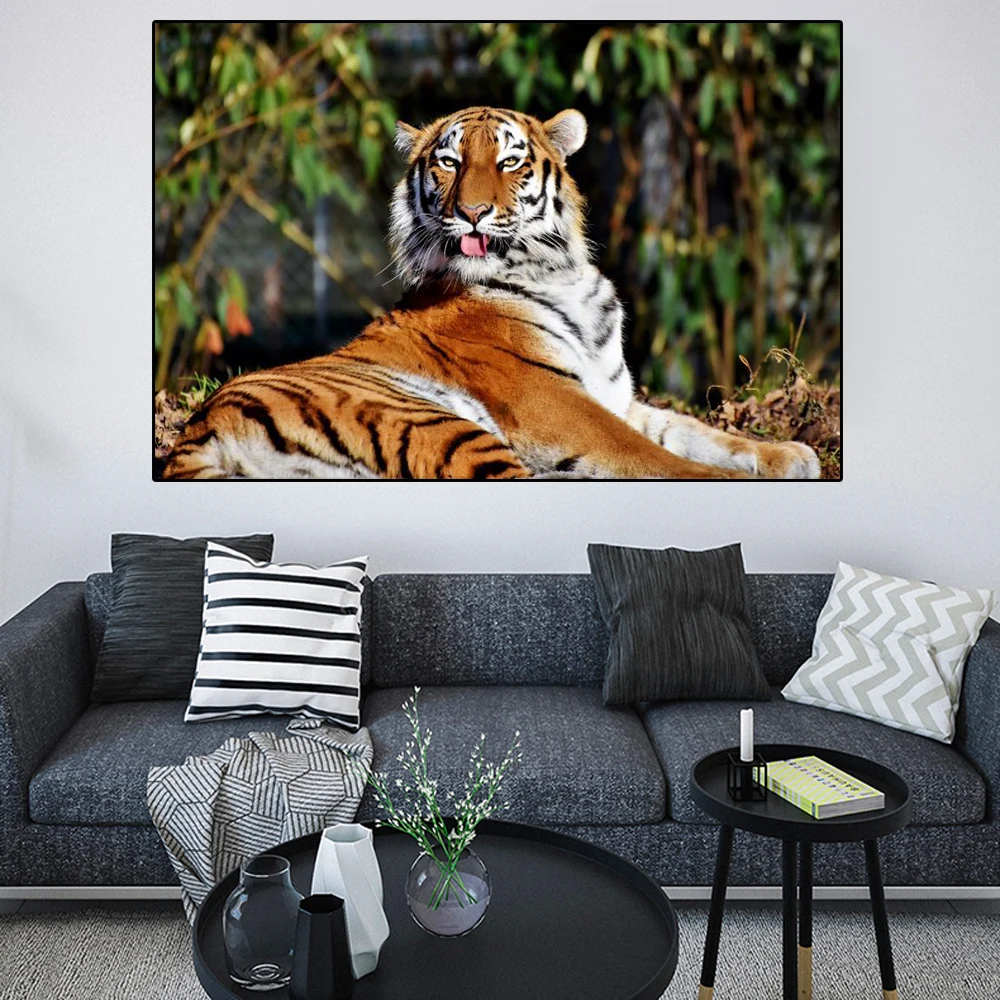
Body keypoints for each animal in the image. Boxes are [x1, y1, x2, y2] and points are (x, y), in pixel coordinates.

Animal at [163, 106, 820, 480]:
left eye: (509, 162)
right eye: (450, 163)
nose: (473, 212)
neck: (560, 272)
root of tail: (198, 431)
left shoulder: (612, 397)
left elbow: (695, 433)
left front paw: (790, 456)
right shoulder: (557, 406)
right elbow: (659, 459)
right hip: (436, 423)